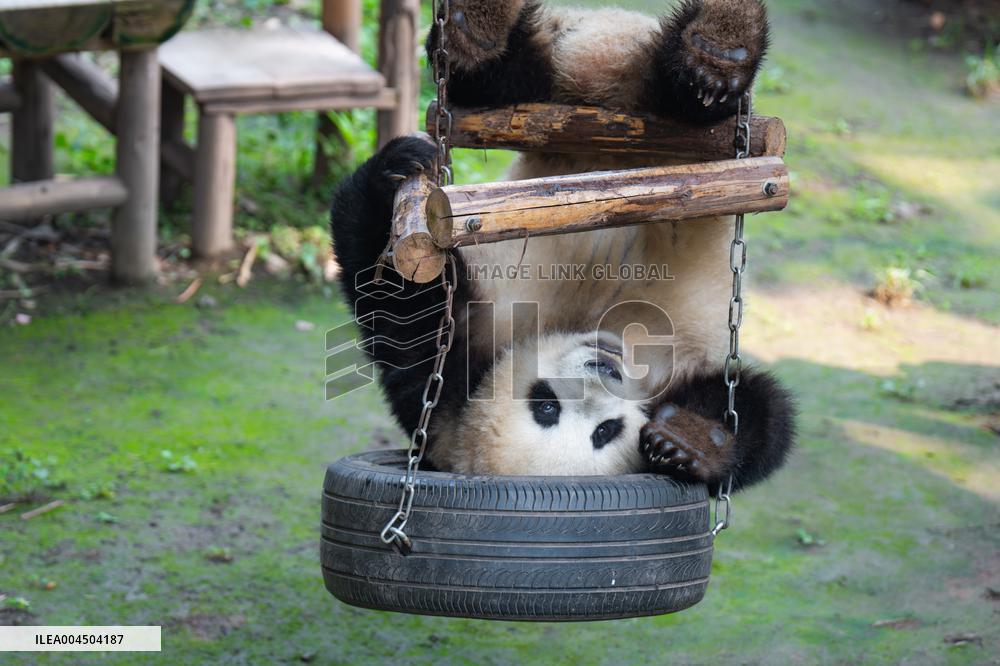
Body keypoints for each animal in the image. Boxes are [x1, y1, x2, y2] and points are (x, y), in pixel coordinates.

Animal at [330, 0, 795, 493]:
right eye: (549, 405)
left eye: (603, 430)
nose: (606, 372)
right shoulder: (444, 399)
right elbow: (397, 308)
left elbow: (763, 416)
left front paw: (692, 440)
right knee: (512, 79)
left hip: (601, 60)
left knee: (679, 100)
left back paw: (718, 49)